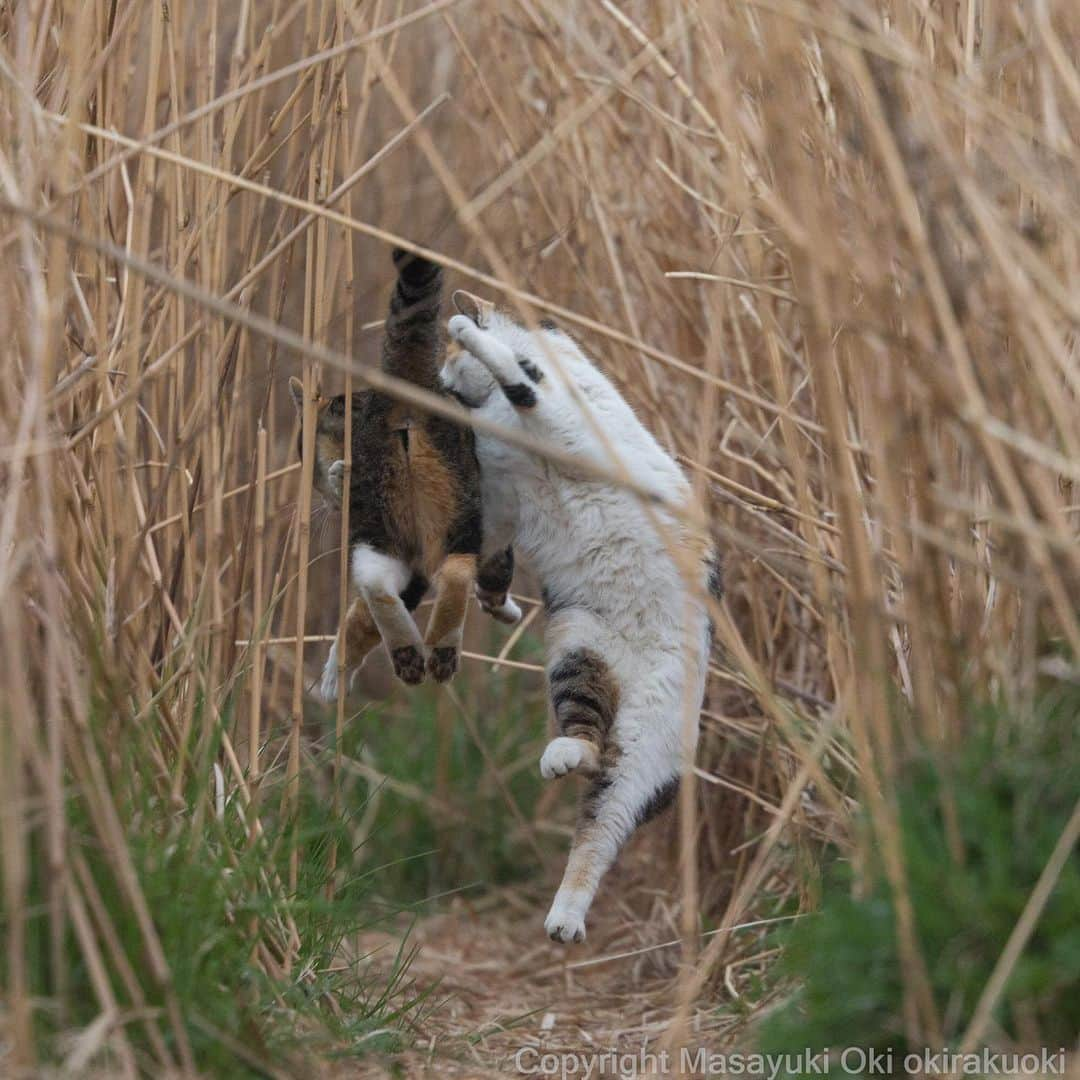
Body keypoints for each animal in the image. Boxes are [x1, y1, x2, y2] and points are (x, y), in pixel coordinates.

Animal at [438, 295, 725, 946]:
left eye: (447, 364)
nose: (439, 383)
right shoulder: (499, 502)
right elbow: (492, 558)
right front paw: (499, 604)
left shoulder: (562, 421)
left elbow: (518, 380)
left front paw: (471, 334)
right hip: (578, 647)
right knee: (594, 787)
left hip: (645, 738)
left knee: (603, 811)